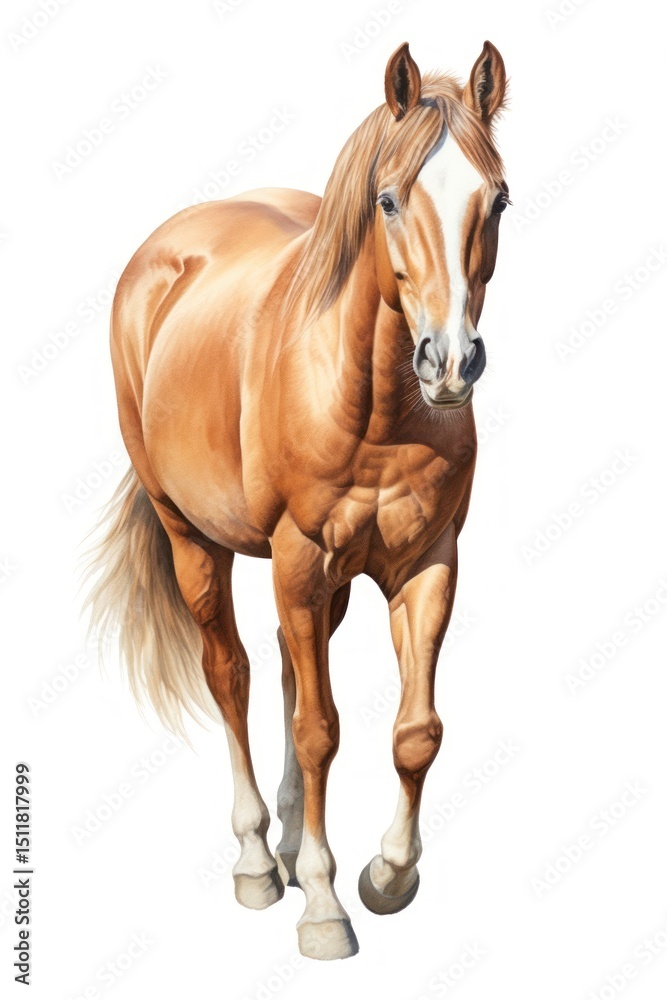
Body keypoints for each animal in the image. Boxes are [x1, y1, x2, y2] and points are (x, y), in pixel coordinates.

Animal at [86, 41, 509, 961]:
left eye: (497, 197)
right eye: (387, 199)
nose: (449, 363)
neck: (373, 408)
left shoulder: (426, 564)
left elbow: (414, 732)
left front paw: (387, 875)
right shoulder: (299, 558)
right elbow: (320, 731)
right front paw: (321, 904)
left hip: (325, 581)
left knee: (284, 664)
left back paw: (283, 841)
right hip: (195, 540)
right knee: (233, 673)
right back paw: (256, 859)